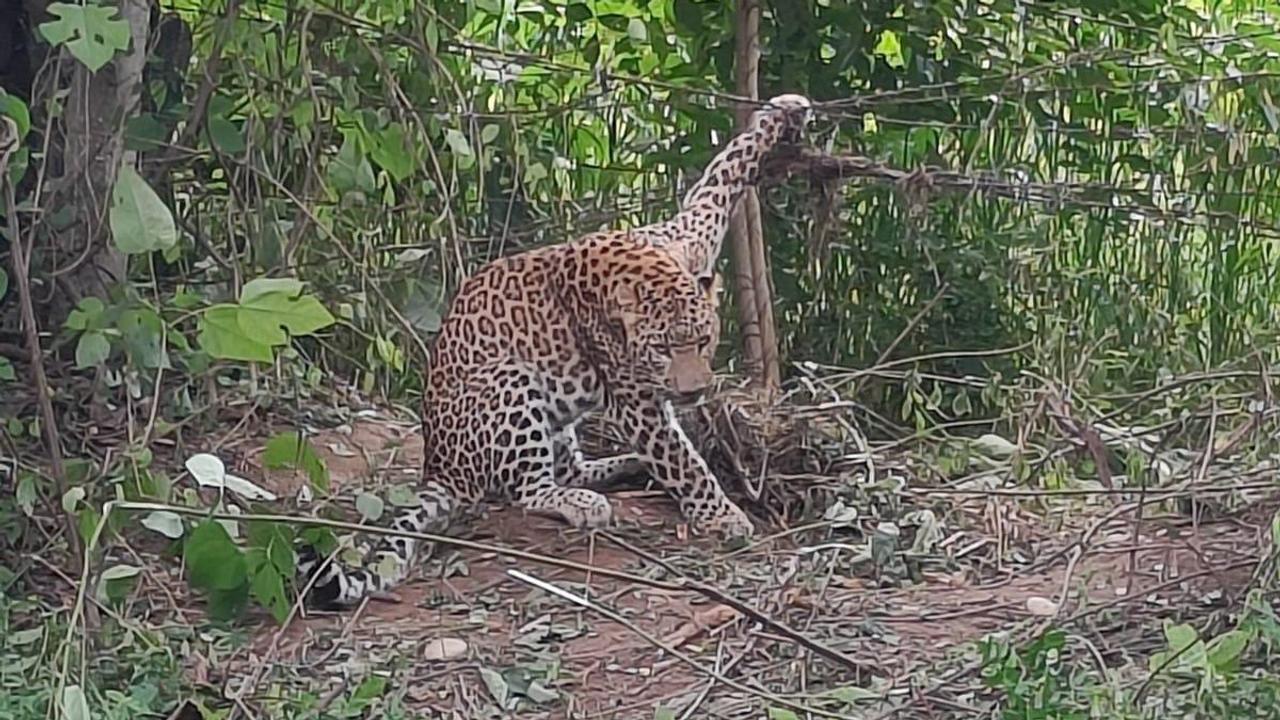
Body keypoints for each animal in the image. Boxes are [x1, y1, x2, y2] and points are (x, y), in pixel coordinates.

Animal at [299, 90, 808, 604]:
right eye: (662, 349)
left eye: (703, 341)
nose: (692, 393)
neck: (649, 269)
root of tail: (438, 467)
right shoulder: (637, 403)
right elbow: (681, 462)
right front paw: (723, 516)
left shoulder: (686, 233)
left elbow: (718, 179)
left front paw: (782, 113)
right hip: (509, 380)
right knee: (530, 490)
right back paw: (585, 501)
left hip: (557, 420)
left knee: (569, 468)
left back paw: (622, 466)